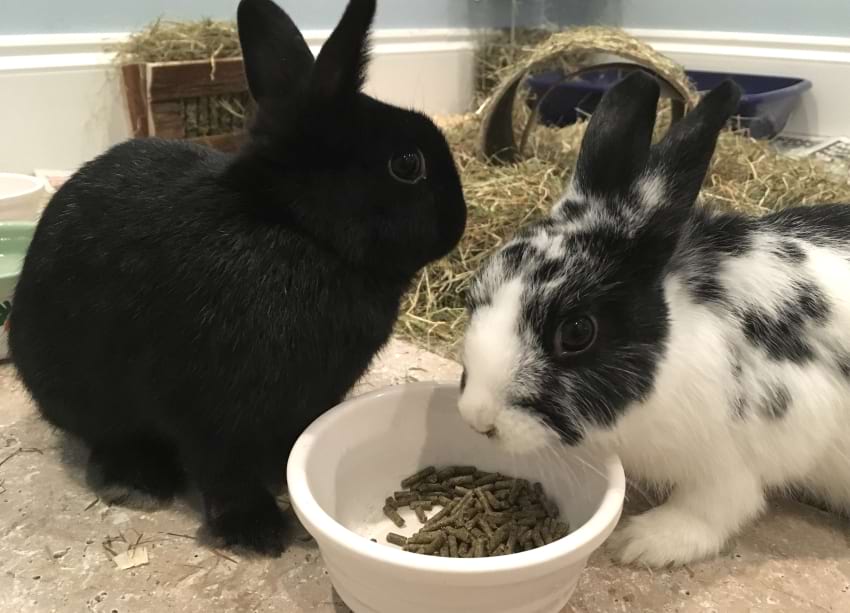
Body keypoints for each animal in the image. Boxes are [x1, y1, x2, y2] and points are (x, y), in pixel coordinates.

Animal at [9, 0, 468, 556]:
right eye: (407, 163)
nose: (460, 221)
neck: (301, 231)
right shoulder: (208, 408)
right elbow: (221, 468)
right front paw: (256, 530)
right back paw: (137, 479)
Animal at [460, 70, 848, 564]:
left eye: (577, 332)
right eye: (475, 292)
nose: (477, 419)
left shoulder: (740, 455)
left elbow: (716, 506)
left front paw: (641, 543)